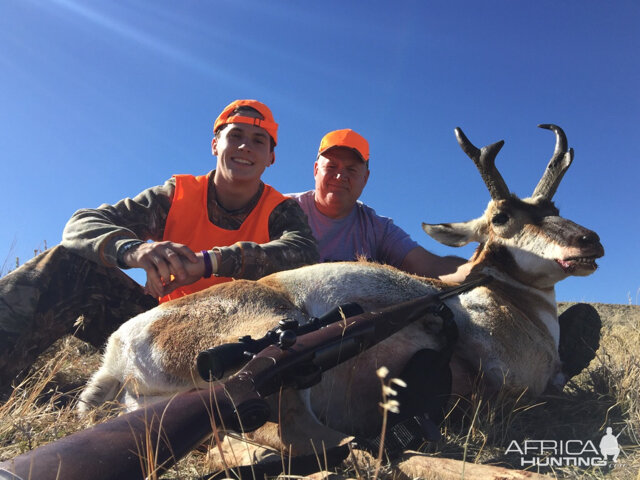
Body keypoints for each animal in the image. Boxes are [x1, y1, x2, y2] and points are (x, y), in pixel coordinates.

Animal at [77, 124, 604, 454]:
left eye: (554, 207)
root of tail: (117, 352)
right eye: (502, 217)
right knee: (279, 427)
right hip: (275, 338)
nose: (590, 240)